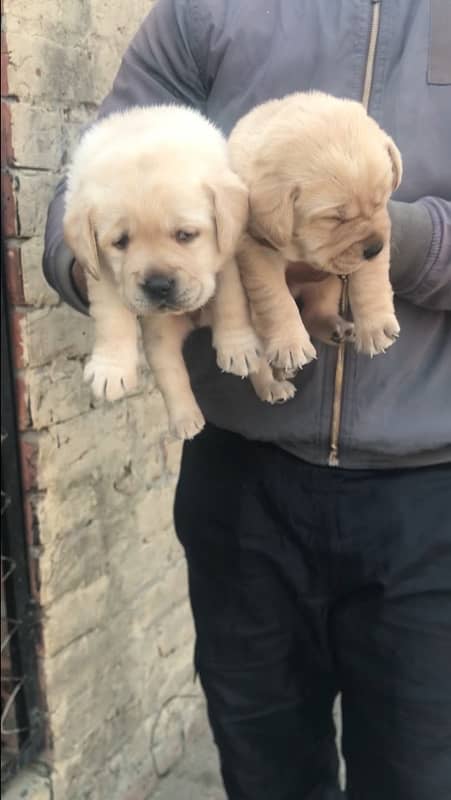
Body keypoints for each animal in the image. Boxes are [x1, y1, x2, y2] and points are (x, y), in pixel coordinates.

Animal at [62, 104, 290, 440]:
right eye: (120, 242)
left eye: (185, 235)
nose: (158, 285)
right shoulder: (99, 269)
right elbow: (111, 317)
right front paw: (111, 369)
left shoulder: (228, 254)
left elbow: (231, 299)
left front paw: (237, 346)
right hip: (160, 334)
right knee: (171, 372)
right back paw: (186, 419)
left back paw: (271, 384)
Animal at [230, 90, 402, 376]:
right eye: (335, 218)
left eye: (380, 201)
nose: (374, 248)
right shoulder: (256, 252)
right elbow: (275, 298)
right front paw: (289, 345)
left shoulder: (380, 228)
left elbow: (371, 279)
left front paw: (377, 327)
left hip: (328, 284)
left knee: (315, 310)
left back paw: (337, 328)